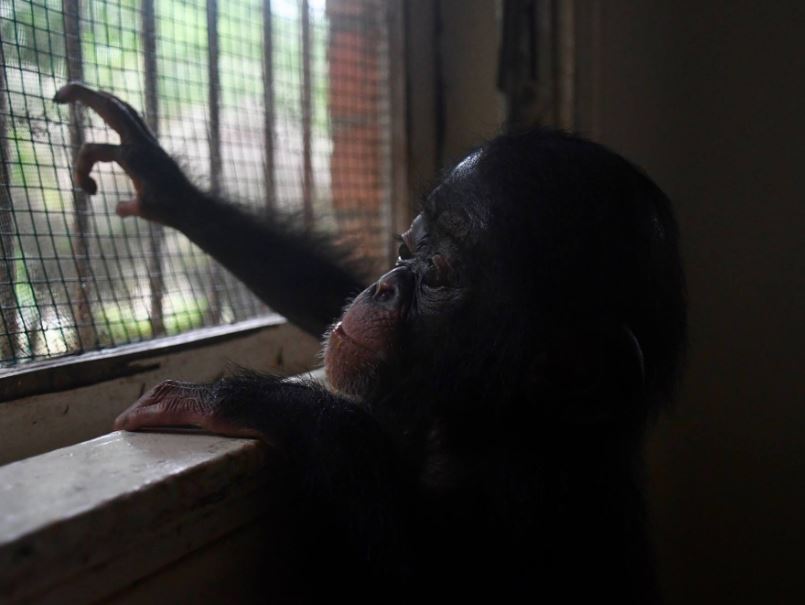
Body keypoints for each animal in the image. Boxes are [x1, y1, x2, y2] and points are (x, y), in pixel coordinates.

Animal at [55, 84, 684, 604]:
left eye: (438, 275)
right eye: (406, 248)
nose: (384, 284)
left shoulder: (534, 489)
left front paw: (246, 398)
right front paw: (165, 183)